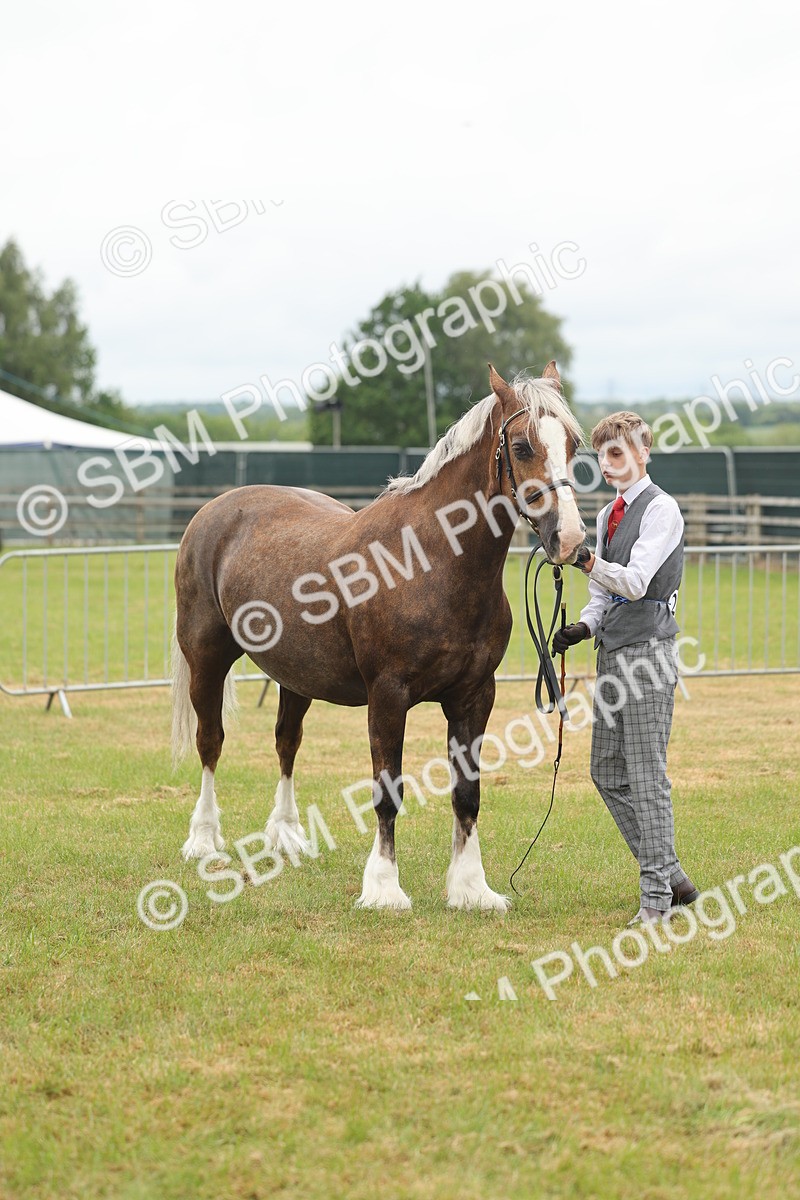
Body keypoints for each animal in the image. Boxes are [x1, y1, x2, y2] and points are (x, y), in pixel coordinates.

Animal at [171, 362, 585, 910]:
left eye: (574, 444)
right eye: (520, 447)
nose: (571, 539)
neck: (428, 562)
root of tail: (213, 511)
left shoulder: (475, 696)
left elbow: (467, 793)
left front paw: (471, 888)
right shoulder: (388, 696)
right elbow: (388, 791)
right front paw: (384, 888)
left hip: (296, 677)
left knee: (286, 743)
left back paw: (287, 834)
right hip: (207, 659)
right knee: (211, 742)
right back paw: (203, 840)